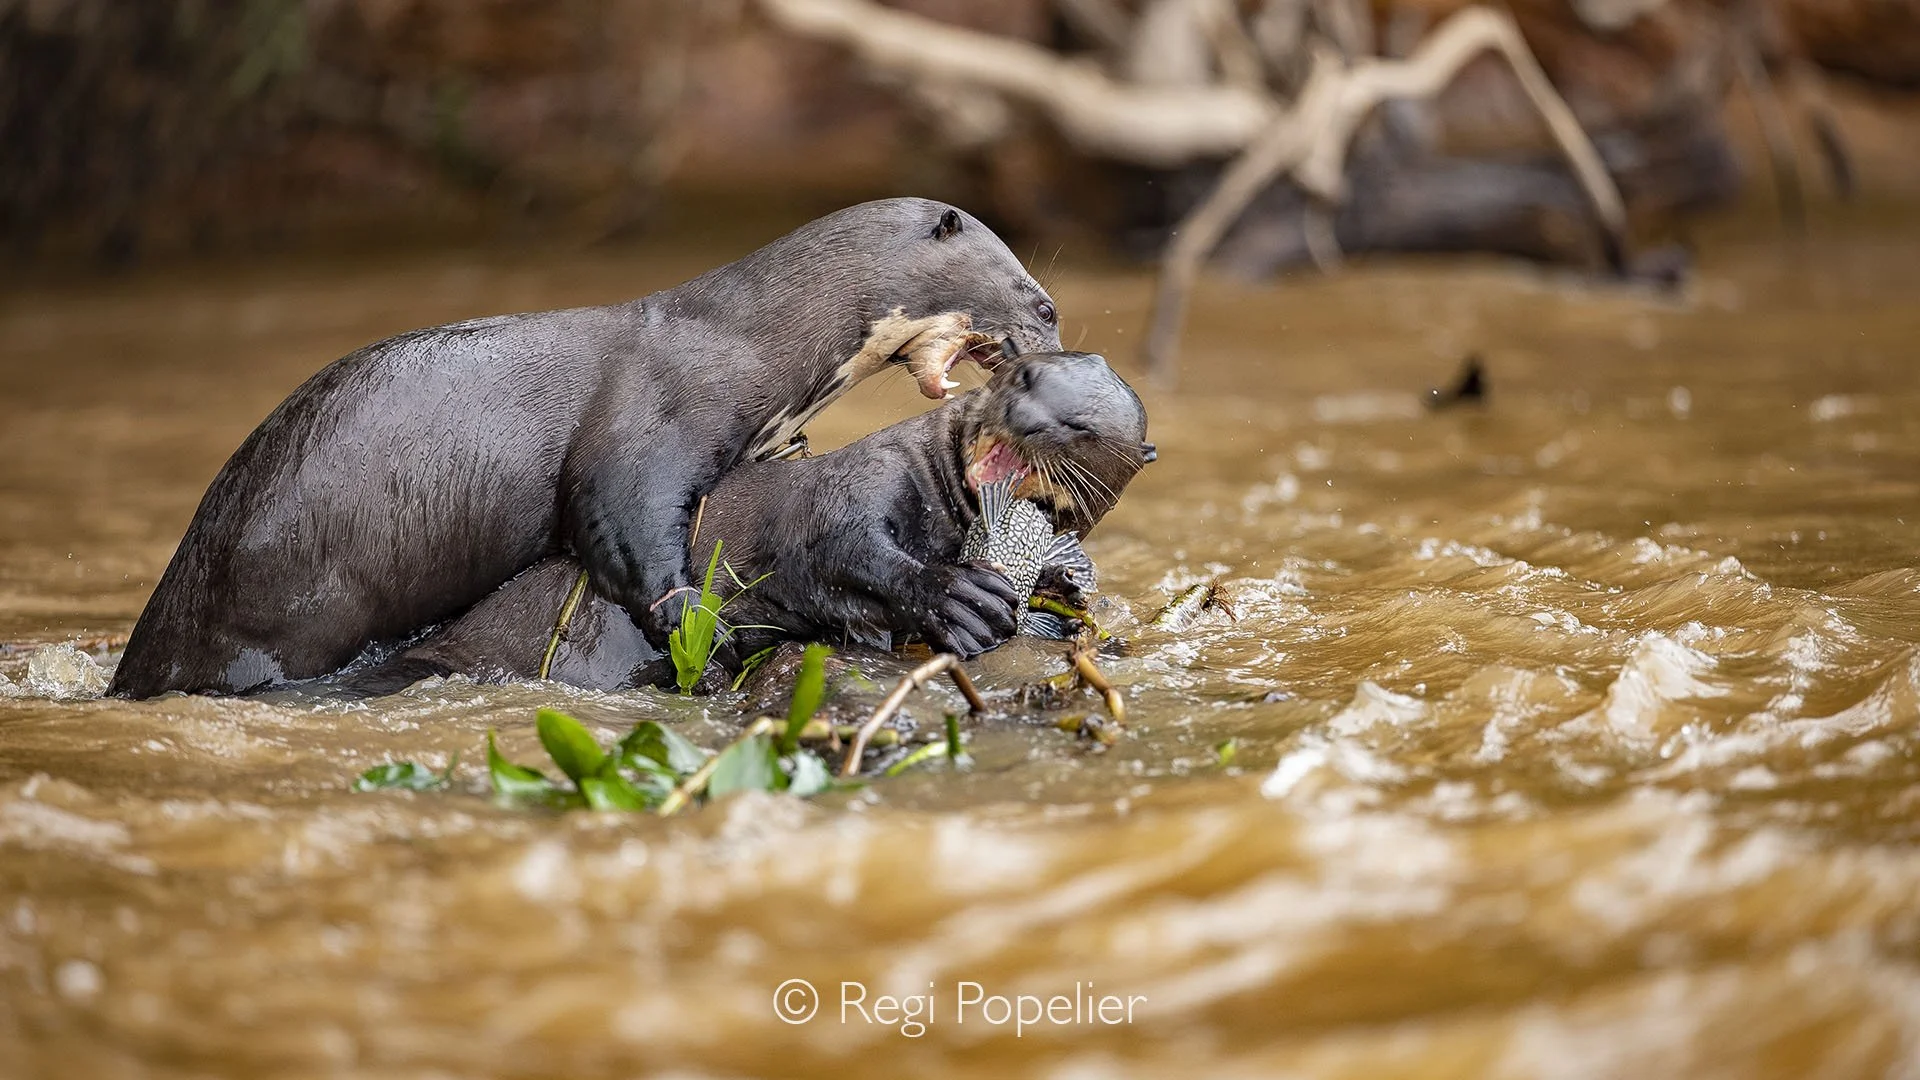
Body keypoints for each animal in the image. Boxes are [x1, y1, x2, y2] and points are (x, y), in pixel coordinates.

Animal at [112, 199, 1062, 699]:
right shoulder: (654, 424)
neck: (745, 346)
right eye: (1038, 300)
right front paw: (691, 625)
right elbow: (626, 527)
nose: (1049, 339)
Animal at [336, 351, 1152, 695]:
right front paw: (957, 597)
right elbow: (841, 546)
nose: (1024, 418)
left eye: (1079, 426)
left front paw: (1064, 584)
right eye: (1023, 375)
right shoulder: (863, 480)